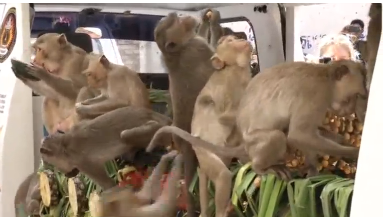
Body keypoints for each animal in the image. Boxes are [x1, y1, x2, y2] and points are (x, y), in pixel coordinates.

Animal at [39, 107, 172, 190]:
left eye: (56, 167)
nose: (67, 175)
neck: (64, 144)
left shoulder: (82, 161)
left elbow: (108, 185)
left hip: (157, 128)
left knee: (125, 135)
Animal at [146, 59, 366, 181]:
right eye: (353, 96)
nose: (350, 109)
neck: (326, 78)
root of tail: (243, 144)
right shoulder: (315, 96)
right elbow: (299, 134)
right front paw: (354, 152)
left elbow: (310, 134)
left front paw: (315, 167)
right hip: (254, 143)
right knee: (278, 137)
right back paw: (263, 168)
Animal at [153, 12, 220, 216]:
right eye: (175, 20)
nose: (180, 15)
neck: (175, 52)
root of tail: (186, 143)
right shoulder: (198, 48)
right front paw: (214, 22)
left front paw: (205, 20)